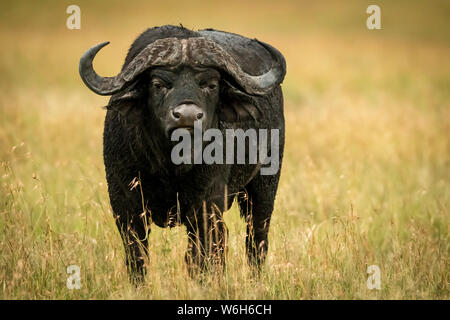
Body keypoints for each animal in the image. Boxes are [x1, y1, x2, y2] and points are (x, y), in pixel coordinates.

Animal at [79, 25, 286, 282]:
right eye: (158, 84)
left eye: (211, 85)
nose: (187, 116)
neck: (170, 165)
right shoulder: (124, 203)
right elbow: (137, 255)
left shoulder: (207, 205)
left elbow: (203, 256)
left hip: (264, 186)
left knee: (255, 238)